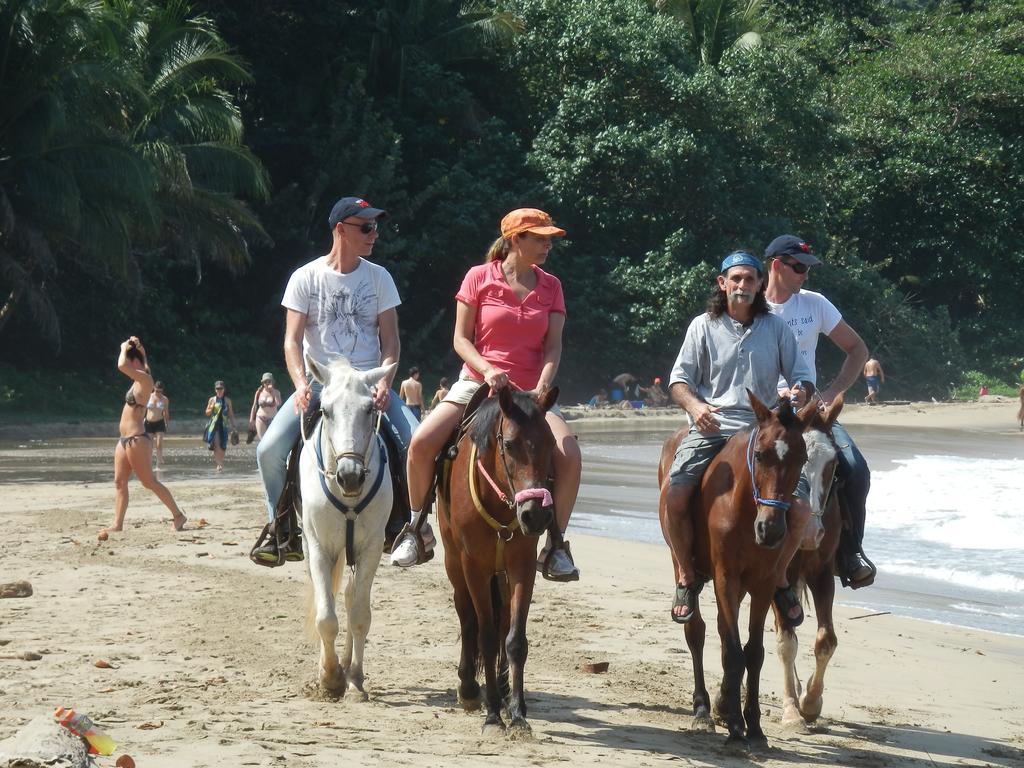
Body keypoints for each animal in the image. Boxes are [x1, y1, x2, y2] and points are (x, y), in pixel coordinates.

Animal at [299, 358, 395, 700]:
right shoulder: (318, 547)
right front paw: (329, 677)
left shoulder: (370, 549)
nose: (350, 476)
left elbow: (360, 616)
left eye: (369, 409)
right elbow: (326, 616)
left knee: (353, 598)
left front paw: (352, 678)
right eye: (325, 410)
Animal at [434, 391, 557, 741]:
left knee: (501, 620)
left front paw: (516, 714)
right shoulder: (474, 565)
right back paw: (470, 688)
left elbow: (514, 640)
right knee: (467, 617)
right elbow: (485, 636)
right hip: (454, 563)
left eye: (551, 443)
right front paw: (492, 716)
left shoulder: (521, 566)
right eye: (511, 445)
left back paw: (502, 691)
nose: (535, 514)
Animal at [659, 391, 819, 745]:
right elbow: (733, 651)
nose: (770, 530)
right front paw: (735, 727)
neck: (745, 506)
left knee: (722, 632)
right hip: (681, 556)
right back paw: (703, 709)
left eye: (802, 458)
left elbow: (753, 652)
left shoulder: (762, 582)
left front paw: (754, 726)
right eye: (759, 455)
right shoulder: (725, 577)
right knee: (697, 632)